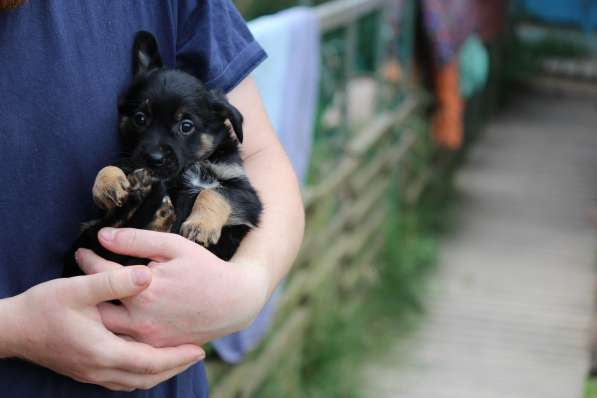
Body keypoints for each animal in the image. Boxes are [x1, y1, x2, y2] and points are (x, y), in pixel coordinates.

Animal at [61, 31, 264, 276]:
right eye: (140, 118)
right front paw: (108, 184)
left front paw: (200, 225)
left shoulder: (246, 195)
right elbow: (112, 167)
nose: (154, 159)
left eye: (186, 126)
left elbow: (213, 192)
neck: (184, 171)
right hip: (91, 235)